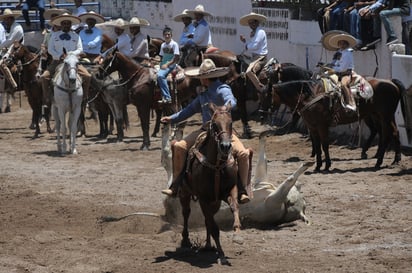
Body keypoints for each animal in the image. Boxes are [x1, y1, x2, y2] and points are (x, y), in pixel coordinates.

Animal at [179, 102, 240, 264]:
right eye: (215, 125)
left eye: (231, 123)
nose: (225, 146)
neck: (217, 166)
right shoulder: (203, 198)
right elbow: (214, 228)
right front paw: (222, 254)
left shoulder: (230, 190)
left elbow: (234, 207)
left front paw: (237, 232)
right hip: (184, 193)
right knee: (186, 213)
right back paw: (186, 240)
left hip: (215, 202)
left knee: (207, 219)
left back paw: (207, 245)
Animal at [268, 76, 404, 171]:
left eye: (267, 94)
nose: (264, 113)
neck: (312, 97)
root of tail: (391, 82)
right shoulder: (313, 127)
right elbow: (317, 146)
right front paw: (318, 165)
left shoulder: (322, 126)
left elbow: (324, 145)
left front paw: (326, 165)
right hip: (381, 116)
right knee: (393, 133)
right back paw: (394, 159)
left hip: (384, 117)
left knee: (386, 135)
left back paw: (379, 162)